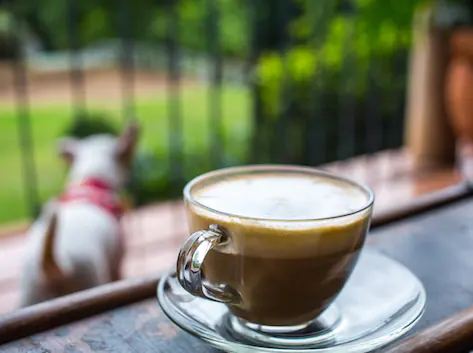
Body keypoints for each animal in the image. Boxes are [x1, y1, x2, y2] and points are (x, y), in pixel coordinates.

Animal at [20, 123, 138, 306]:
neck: (90, 183)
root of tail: (53, 267)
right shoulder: (116, 262)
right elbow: (118, 275)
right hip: (92, 279)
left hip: (30, 295)